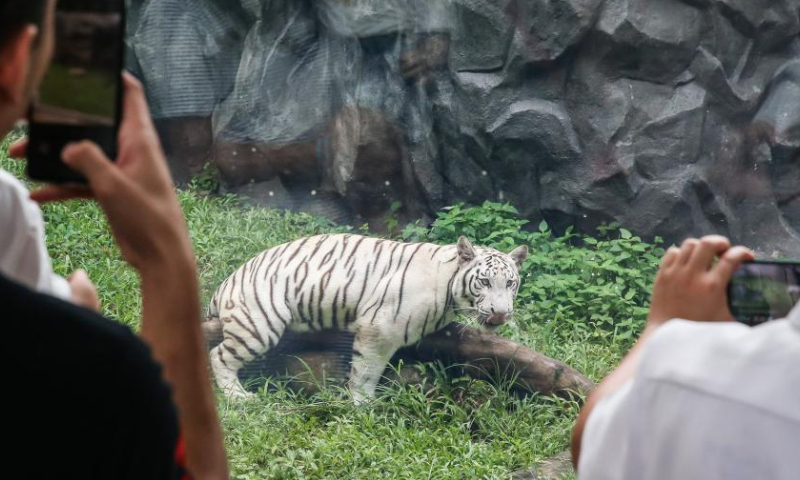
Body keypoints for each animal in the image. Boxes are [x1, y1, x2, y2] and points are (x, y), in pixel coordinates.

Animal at [203, 233, 528, 403]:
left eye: (510, 283)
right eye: (484, 282)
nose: (501, 312)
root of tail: (225, 283)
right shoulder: (378, 328)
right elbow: (367, 371)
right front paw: (364, 404)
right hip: (259, 324)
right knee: (218, 355)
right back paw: (238, 396)